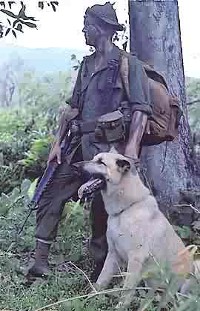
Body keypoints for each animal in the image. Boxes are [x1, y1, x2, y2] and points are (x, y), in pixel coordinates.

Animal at [77, 152, 198, 310]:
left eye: (101, 162)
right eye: (94, 159)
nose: (75, 166)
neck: (126, 209)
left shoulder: (135, 259)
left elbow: (126, 291)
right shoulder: (113, 255)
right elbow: (100, 281)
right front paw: (88, 300)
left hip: (179, 286)